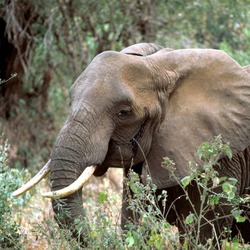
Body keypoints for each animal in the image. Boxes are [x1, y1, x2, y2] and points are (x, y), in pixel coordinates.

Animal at [13, 43, 250, 246]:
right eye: (70, 102)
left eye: (124, 113)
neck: (161, 65)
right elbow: (133, 222)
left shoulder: (220, 162)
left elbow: (202, 235)